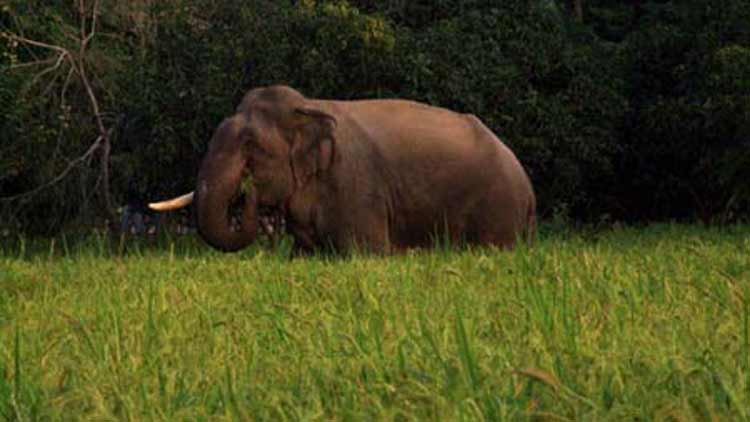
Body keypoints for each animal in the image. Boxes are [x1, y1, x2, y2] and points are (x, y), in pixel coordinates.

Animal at [149, 85, 536, 254]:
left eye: (251, 146)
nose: (248, 192)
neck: (307, 106)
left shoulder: (355, 185)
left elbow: (366, 253)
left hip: (498, 209)